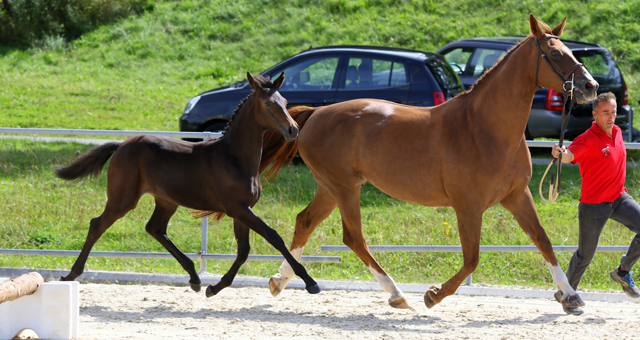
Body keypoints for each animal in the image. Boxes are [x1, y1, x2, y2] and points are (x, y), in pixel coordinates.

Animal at [56, 72, 320, 298]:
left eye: (284, 101)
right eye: (267, 104)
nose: (293, 130)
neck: (234, 157)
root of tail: (121, 145)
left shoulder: (243, 211)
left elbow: (244, 250)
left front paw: (214, 287)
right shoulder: (238, 208)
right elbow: (273, 237)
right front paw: (310, 282)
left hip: (166, 201)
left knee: (155, 229)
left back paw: (194, 277)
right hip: (123, 199)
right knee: (97, 225)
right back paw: (71, 274)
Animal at [258, 14, 596, 310]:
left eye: (570, 51)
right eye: (555, 53)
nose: (590, 86)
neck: (486, 128)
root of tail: (316, 113)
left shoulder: (517, 196)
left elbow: (543, 241)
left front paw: (570, 297)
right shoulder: (468, 206)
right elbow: (472, 258)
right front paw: (433, 295)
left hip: (331, 188)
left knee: (305, 221)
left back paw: (279, 280)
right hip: (344, 188)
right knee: (353, 237)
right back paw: (396, 295)